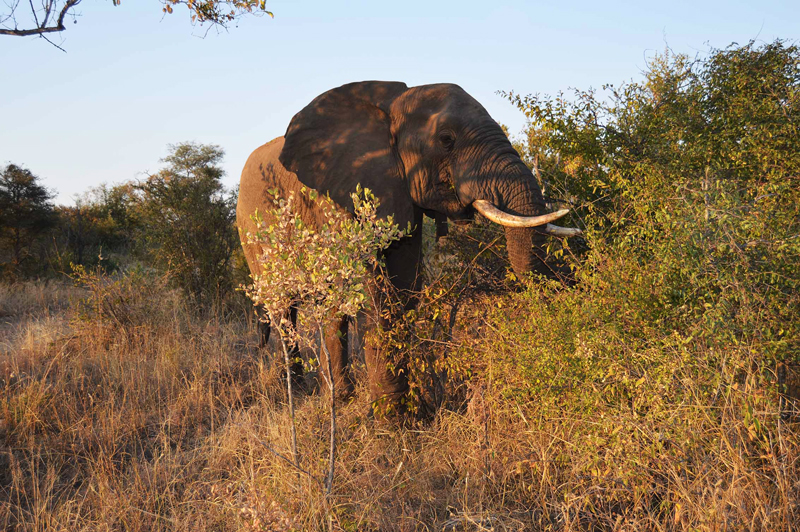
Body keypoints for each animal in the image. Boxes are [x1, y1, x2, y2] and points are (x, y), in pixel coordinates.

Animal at [238, 80, 580, 412]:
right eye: (446, 139)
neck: (391, 107)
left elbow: (404, 285)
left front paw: (405, 409)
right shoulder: (335, 197)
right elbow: (371, 290)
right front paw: (391, 418)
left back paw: (337, 397)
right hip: (252, 231)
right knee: (284, 308)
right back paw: (300, 392)